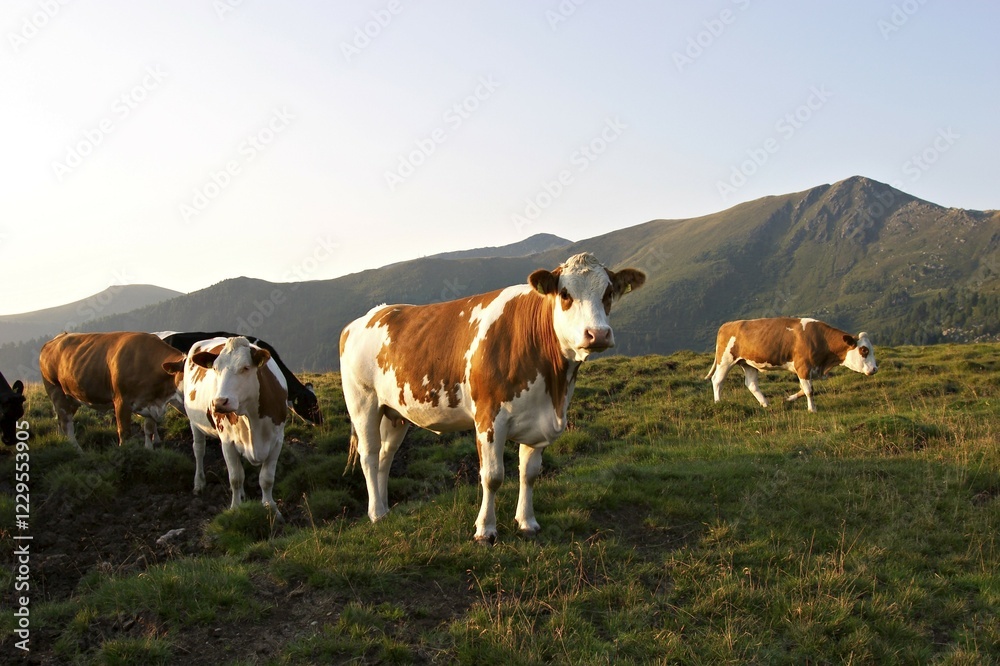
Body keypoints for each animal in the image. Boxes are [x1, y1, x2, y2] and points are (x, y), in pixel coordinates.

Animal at [39, 332, 185, 451]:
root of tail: (55, 340)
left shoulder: (151, 403)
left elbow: (149, 429)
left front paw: (149, 450)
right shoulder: (122, 401)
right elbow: (124, 432)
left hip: (72, 397)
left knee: (60, 420)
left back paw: (62, 442)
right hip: (57, 393)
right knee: (67, 424)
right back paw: (77, 450)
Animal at [163, 336, 288, 518]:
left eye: (245, 368)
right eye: (215, 368)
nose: (219, 402)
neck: (251, 417)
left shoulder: (277, 441)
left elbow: (267, 478)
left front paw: (271, 508)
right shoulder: (228, 442)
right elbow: (235, 478)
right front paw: (235, 508)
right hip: (194, 422)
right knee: (199, 450)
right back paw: (199, 483)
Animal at [339, 252, 646, 543]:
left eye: (608, 292)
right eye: (565, 293)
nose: (598, 334)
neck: (555, 388)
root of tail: (363, 319)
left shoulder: (539, 420)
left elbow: (529, 473)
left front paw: (527, 522)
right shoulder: (489, 418)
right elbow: (493, 476)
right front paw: (485, 530)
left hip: (395, 412)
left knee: (385, 456)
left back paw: (384, 509)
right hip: (363, 403)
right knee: (369, 455)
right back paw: (376, 514)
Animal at [705, 317, 878, 412]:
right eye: (864, 350)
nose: (875, 369)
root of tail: (728, 324)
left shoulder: (806, 370)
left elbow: (803, 389)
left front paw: (787, 399)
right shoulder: (803, 367)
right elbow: (809, 390)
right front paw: (812, 409)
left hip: (748, 363)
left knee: (751, 384)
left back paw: (765, 404)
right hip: (725, 360)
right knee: (717, 380)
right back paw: (718, 402)